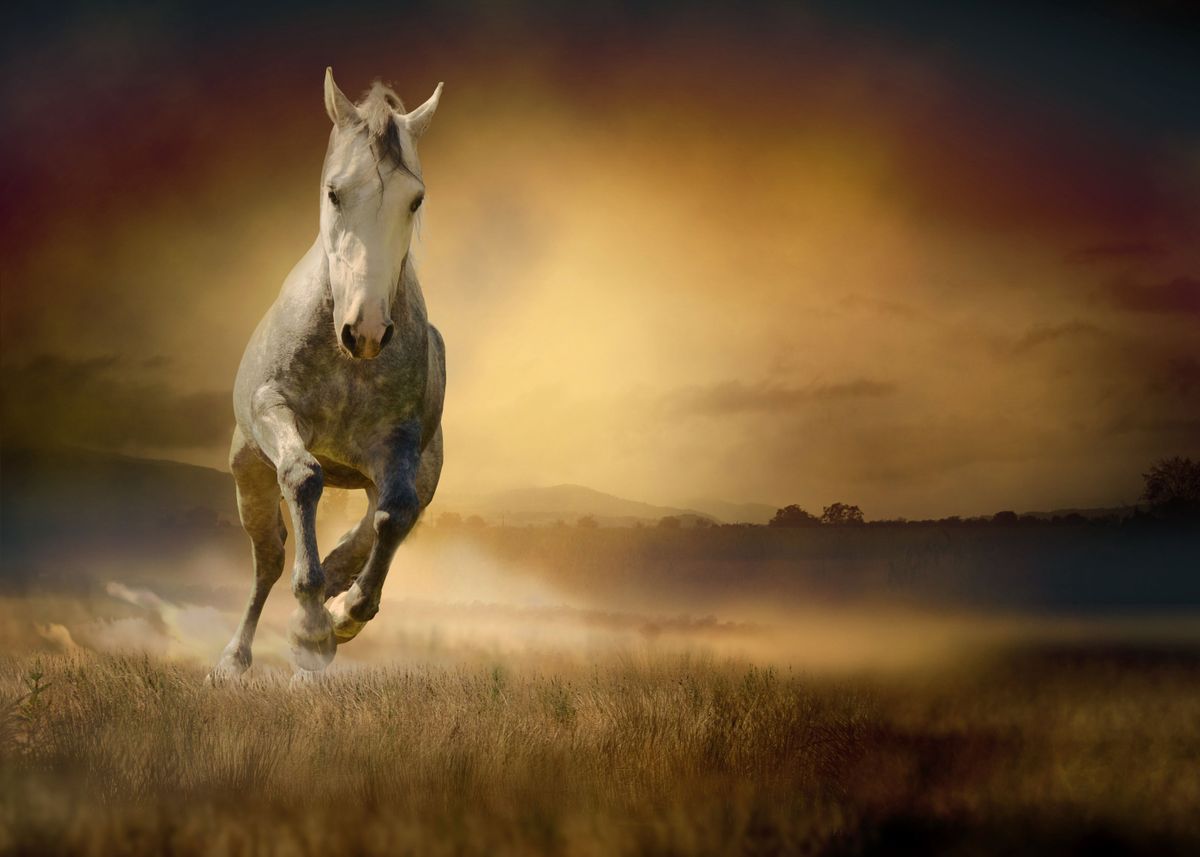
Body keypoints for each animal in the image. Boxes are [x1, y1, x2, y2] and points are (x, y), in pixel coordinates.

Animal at [213, 69, 446, 678]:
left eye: (416, 199)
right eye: (335, 192)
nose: (365, 331)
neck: (348, 367)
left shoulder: (399, 443)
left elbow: (396, 513)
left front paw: (342, 615)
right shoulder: (275, 411)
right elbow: (303, 477)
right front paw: (311, 626)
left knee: (376, 527)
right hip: (249, 475)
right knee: (269, 560)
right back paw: (234, 659)